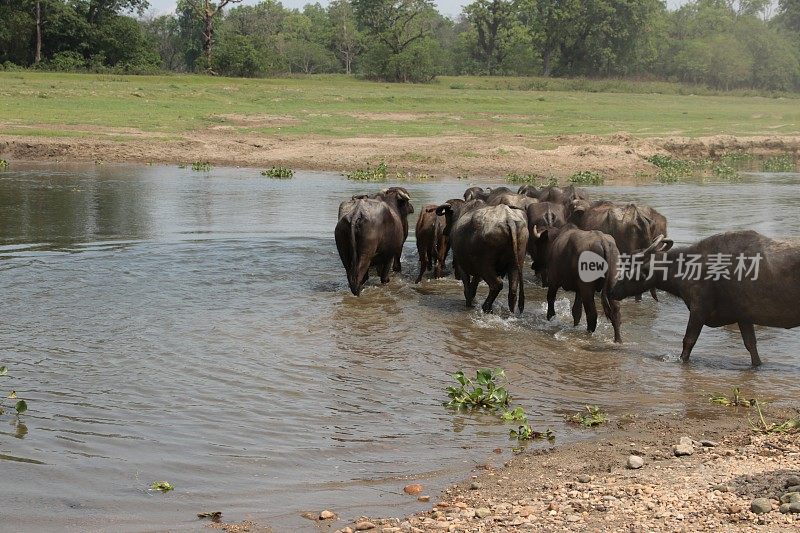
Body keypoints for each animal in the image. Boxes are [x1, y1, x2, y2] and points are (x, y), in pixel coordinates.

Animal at [608, 229, 796, 366]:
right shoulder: (743, 317)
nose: (613, 290)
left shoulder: (699, 309)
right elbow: (751, 345)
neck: (688, 267)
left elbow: (688, 341)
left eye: (629, 266)